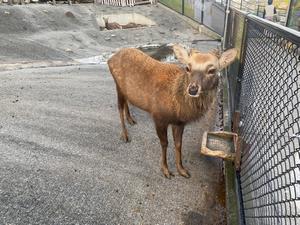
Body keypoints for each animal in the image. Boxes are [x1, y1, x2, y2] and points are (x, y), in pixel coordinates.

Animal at [107, 44, 237, 178]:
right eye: (188, 68)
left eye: (212, 70)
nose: (193, 89)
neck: (178, 107)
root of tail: (111, 59)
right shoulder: (158, 116)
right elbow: (165, 143)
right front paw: (165, 170)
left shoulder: (179, 122)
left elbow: (178, 144)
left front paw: (182, 170)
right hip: (117, 84)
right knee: (119, 107)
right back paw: (125, 135)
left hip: (125, 90)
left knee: (126, 102)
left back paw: (131, 120)